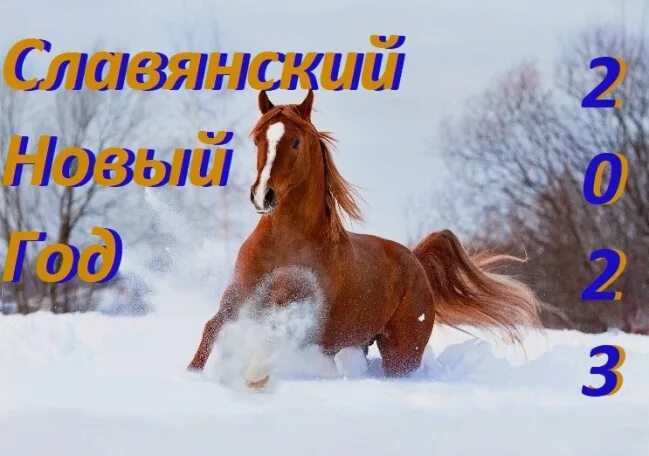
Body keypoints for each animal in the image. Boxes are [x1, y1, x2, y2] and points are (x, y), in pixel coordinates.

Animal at [188, 90, 540, 381]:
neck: (287, 246)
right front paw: (192, 374)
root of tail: (416, 259)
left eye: (296, 142)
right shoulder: (241, 296)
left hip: (401, 351)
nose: (263, 196)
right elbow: (212, 328)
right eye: (257, 140)